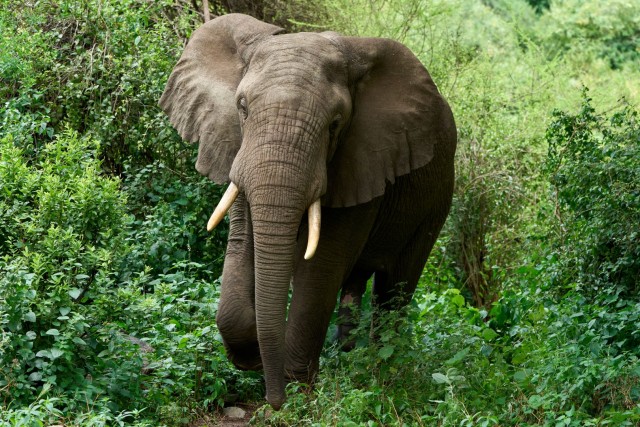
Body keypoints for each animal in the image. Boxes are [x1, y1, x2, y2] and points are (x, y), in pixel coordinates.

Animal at [162, 12, 458, 408]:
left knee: (395, 290)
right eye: (242, 108)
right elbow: (242, 246)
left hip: (437, 200)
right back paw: (348, 357)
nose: (273, 400)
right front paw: (251, 359)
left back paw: (382, 372)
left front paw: (296, 395)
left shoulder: (363, 157)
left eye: (335, 124)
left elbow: (320, 267)